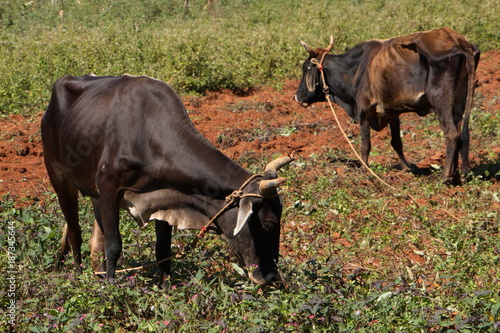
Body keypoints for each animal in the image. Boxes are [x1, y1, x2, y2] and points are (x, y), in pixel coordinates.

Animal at [44, 74, 292, 284]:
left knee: (96, 238)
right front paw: (112, 288)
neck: (148, 132)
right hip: (59, 177)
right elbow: (114, 245)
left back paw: (98, 274)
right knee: (75, 231)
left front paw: (165, 290)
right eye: (269, 223)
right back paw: (80, 276)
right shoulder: (108, 188)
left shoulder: (163, 199)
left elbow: (163, 249)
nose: (272, 278)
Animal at [292, 27, 480, 184]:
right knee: (461, 135)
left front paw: (364, 170)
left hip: (441, 102)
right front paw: (407, 168)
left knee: (452, 135)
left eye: (305, 68)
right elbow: (396, 142)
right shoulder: (393, 113)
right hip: (458, 104)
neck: (355, 69)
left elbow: (365, 145)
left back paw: (445, 178)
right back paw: (456, 176)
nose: (297, 96)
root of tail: (458, 41)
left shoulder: (364, 110)